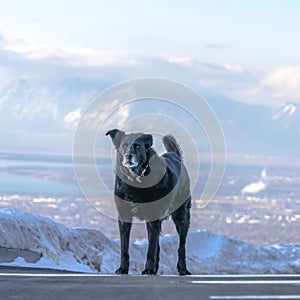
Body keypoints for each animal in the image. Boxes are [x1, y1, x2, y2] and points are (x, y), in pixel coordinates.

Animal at [106, 128, 191, 274]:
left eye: (137, 146)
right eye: (124, 145)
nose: (128, 156)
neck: (136, 179)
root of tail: (176, 156)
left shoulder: (153, 217)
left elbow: (151, 248)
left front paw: (149, 269)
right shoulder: (124, 216)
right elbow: (124, 247)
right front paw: (123, 268)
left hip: (182, 215)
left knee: (182, 245)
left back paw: (182, 269)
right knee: (158, 245)